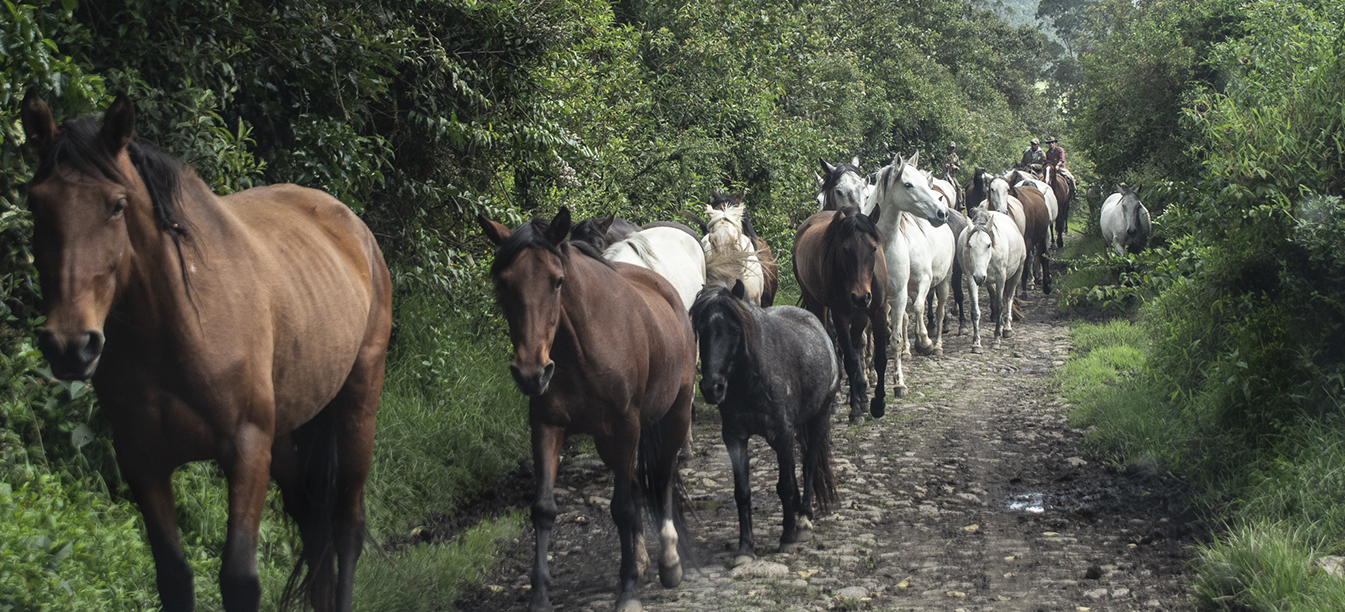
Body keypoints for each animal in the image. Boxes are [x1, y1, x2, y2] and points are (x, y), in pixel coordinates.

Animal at [21, 91, 391, 612]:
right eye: (36, 203)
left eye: (117, 206)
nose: (71, 344)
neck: (176, 328)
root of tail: (353, 226)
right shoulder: (144, 461)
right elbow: (174, 576)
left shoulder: (246, 450)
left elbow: (239, 578)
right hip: (286, 434)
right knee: (313, 527)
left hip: (357, 403)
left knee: (346, 529)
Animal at [478, 208, 694, 612]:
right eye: (503, 283)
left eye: (557, 281)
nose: (532, 372)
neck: (579, 348)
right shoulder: (547, 427)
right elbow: (544, 509)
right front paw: (539, 595)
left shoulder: (627, 428)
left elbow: (623, 507)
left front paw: (628, 591)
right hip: (608, 443)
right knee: (638, 484)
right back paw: (642, 559)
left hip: (673, 417)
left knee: (662, 478)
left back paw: (669, 560)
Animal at [689, 280, 838, 567]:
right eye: (701, 330)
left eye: (735, 330)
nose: (712, 388)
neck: (750, 381)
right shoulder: (735, 437)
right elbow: (743, 492)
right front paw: (745, 548)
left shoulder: (782, 435)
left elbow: (786, 485)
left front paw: (788, 537)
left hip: (819, 418)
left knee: (809, 465)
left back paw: (803, 519)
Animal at [793, 206, 889, 423]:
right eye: (845, 249)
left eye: (873, 248)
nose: (861, 297)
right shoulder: (840, 314)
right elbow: (850, 361)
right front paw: (855, 410)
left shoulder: (877, 311)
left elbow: (880, 358)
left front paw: (877, 404)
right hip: (817, 304)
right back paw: (836, 400)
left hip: (860, 314)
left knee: (856, 344)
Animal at [958, 209, 1026, 352]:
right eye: (970, 245)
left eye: (989, 245)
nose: (979, 277)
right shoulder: (972, 278)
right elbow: (975, 311)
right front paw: (976, 343)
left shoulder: (1001, 278)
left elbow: (1001, 305)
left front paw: (996, 340)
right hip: (988, 282)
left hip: (1018, 271)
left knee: (1009, 298)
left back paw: (1006, 328)